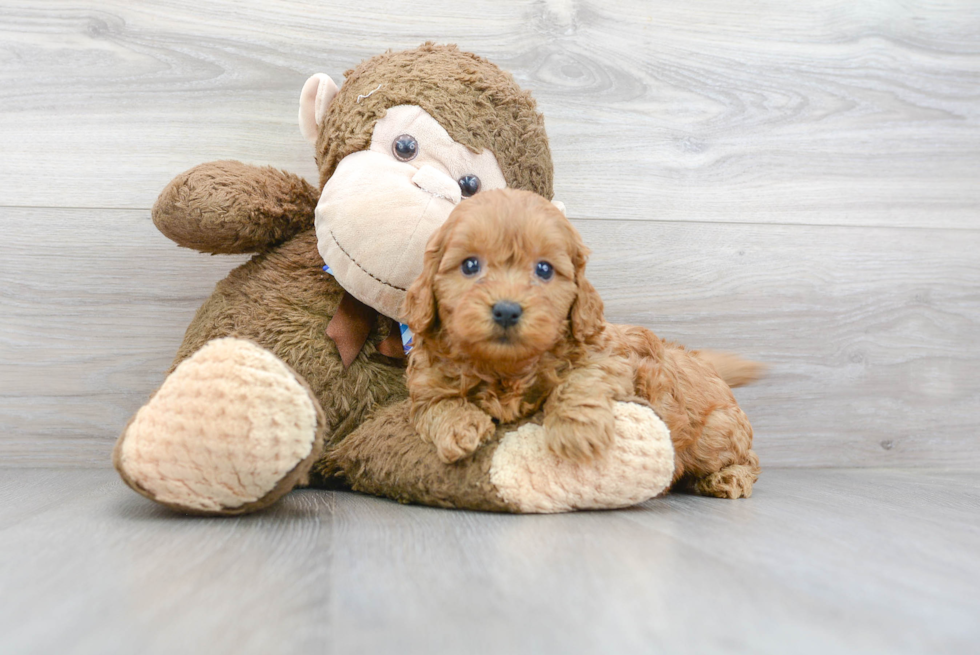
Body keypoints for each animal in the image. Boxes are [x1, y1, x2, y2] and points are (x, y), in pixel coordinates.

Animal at [402, 187, 760, 500]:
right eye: (470, 265)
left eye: (544, 269)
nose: (506, 310)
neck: (506, 368)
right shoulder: (425, 385)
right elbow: (436, 405)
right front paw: (460, 426)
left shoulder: (610, 360)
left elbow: (580, 380)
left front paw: (577, 432)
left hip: (714, 434)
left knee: (749, 460)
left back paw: (729, 478)